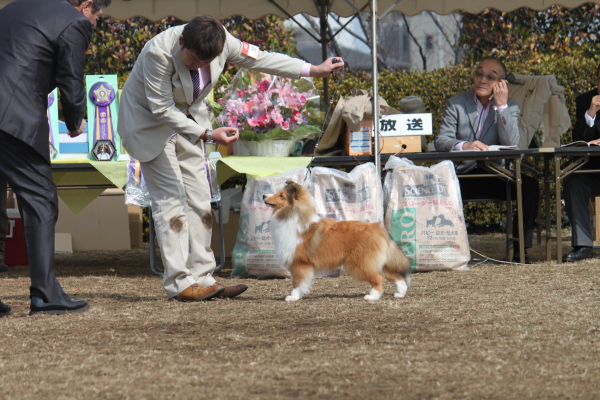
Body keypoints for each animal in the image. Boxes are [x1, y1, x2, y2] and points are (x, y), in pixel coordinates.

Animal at [264, 180, 410, 302]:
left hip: (360, 263)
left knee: (378, 278)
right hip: (375, 262)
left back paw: (372, 296)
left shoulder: (299, 263)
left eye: (281, 195)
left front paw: (293, 297)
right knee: (395, 276)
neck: (293, 216)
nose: (264, 196)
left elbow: (297, 282)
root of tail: (378, 227)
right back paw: (401, 293)